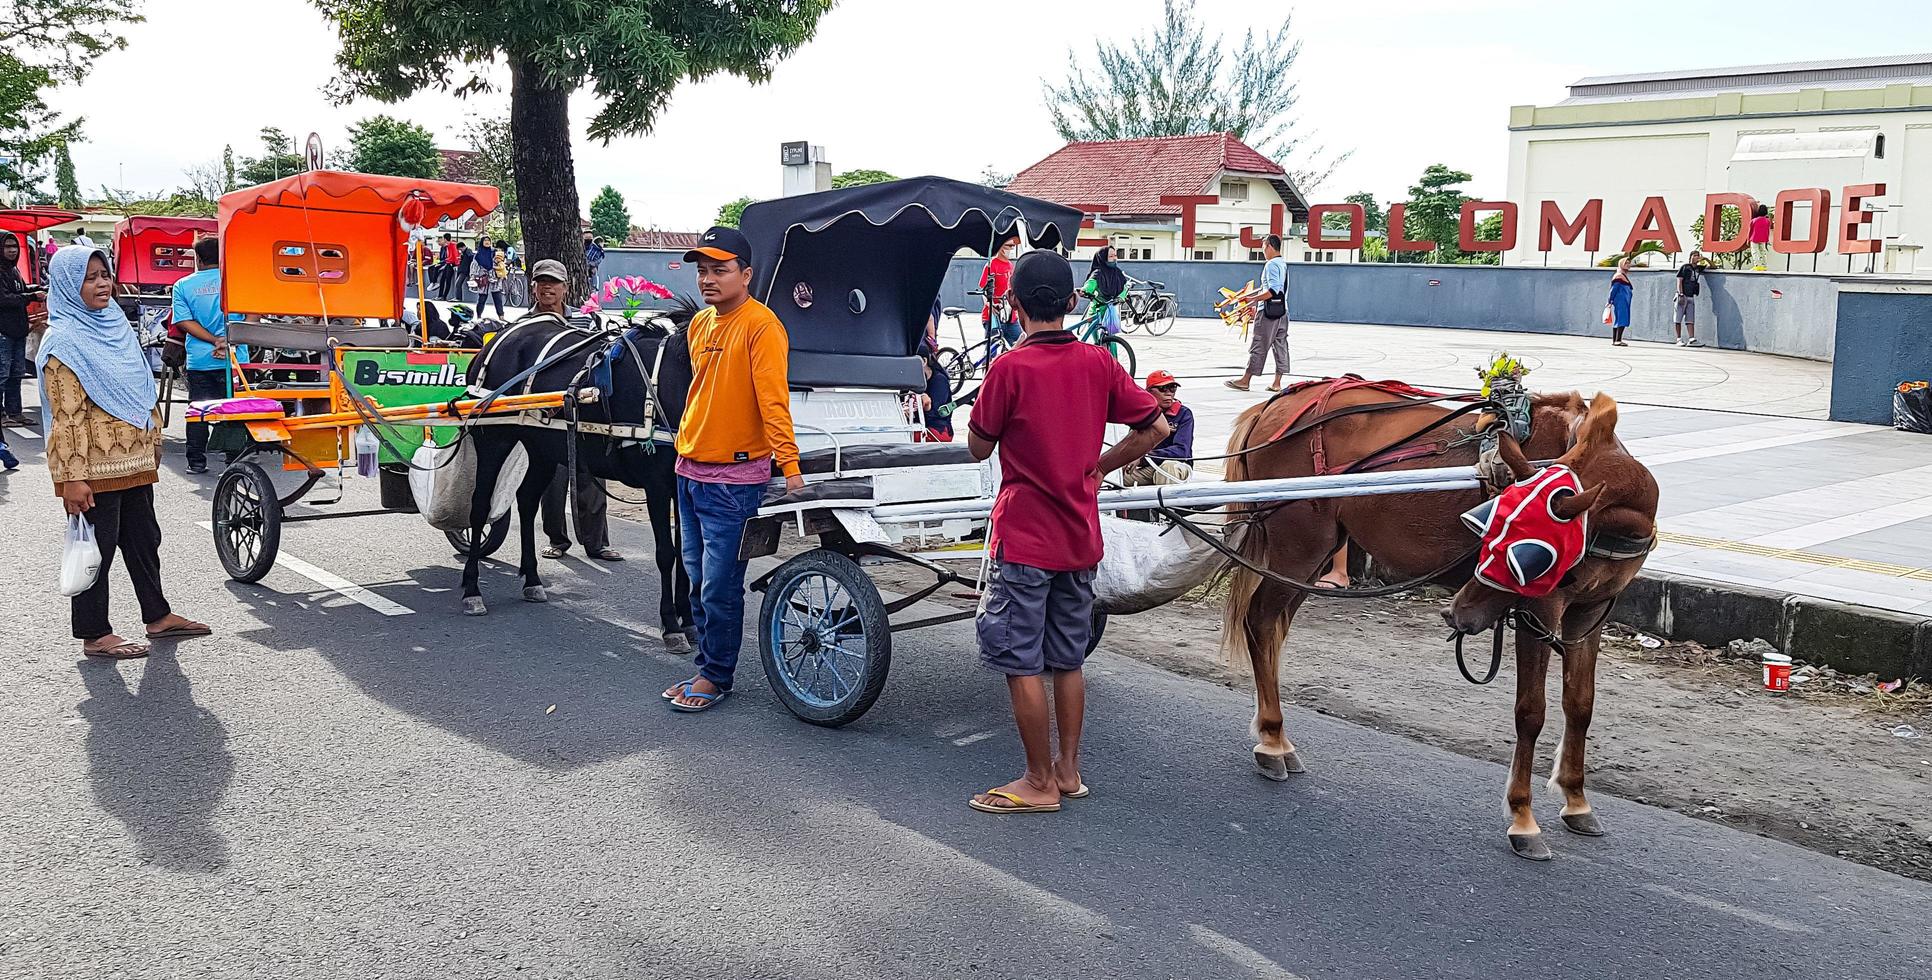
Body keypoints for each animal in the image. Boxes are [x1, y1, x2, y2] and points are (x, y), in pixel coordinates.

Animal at [455, 303, 699, 649]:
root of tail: (498, 337)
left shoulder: (683, 487)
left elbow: (687, 556)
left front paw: (688, 621)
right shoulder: (656, 486)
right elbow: (666, 554)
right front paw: (671, 625)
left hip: (542, 448)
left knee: (527, 501)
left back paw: (532, 579)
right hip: (494, 440)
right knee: (478, 508)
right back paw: (472, 588)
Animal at [1228, 382, 1653, 858]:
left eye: (1524, 550)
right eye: (1489, 526)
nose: (1455, 613)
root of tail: (1271, 407)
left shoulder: (1590, 611)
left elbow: (1580, 704)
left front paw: (1577, 799)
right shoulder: (1537, 611)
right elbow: (1531, 712)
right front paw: (1523, 818)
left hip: (1315, 553)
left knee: (1272, 628)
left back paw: (1277, 738)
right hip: (1297, 545)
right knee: (1260, 622)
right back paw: (1271, 740)